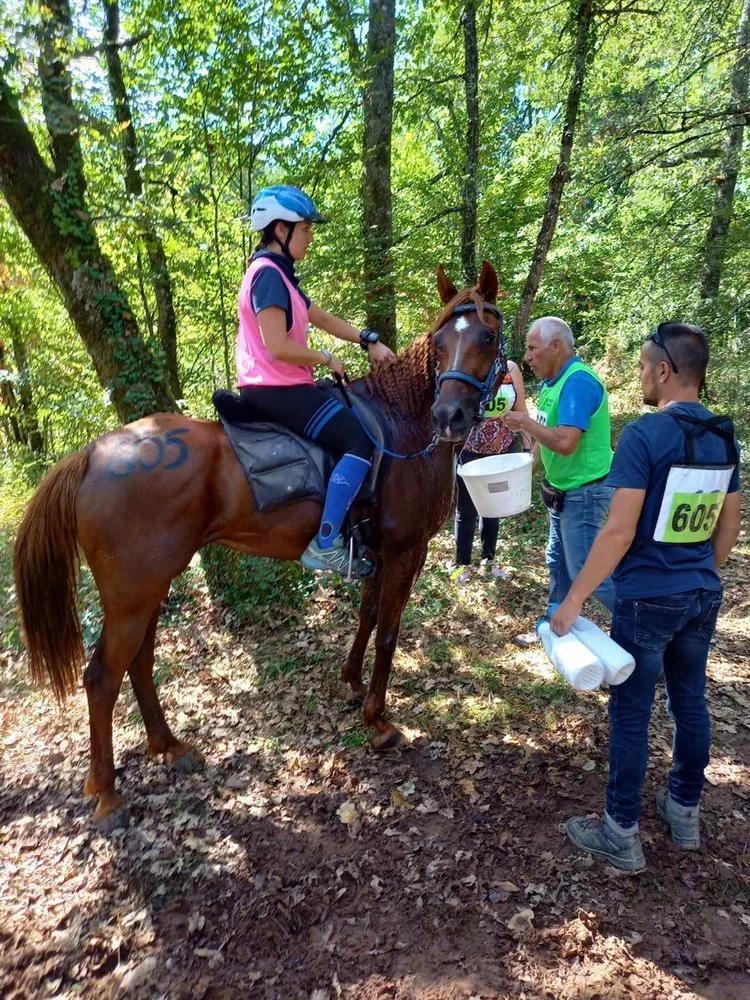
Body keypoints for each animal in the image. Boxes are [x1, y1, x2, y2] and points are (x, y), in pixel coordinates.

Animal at [14, 258, 508, 828]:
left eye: (486, 336)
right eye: (442, 339)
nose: (450, 417)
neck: (402, 425)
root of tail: (93, 454)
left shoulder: (380, 553)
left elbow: (366, 618)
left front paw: (351, 683)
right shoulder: (407, 551)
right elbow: (388, 632)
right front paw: (378, 720)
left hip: (150, 587)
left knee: (138, 662)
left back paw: (168, 746)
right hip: (132, 593)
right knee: (101, 678)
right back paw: (107, 793)